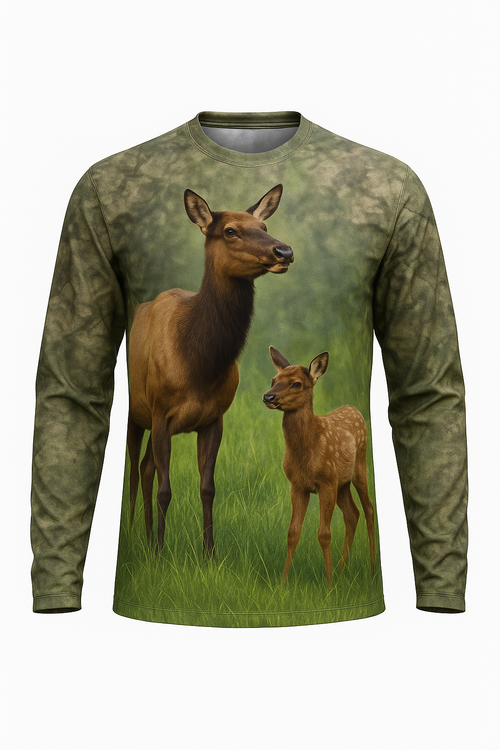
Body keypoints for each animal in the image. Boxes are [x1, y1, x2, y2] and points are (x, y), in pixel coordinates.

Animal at [127, 185, 293, 556]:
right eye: (230, 231)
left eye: (263, 226)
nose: (284, 250)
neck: (197, 367)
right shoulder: (161, 413)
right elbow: (166, 489)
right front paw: (160, 555)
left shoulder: (214, 417)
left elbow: (208, 487)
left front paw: (209, 553)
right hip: (136, 412)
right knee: (134, 470)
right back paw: (137, 539)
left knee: (145, 468)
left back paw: (144, 537)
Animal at [263, 347, 375, 588]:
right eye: (274, 380)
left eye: (297, 384)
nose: (268, 396)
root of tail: (354, 409)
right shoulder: (298, 485)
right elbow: (292, 532)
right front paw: (282, 584)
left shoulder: (326, 483)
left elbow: (324, 534)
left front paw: (329, 586)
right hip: (341, 484)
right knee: (353, 513)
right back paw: (342, 571)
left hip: (359, 467)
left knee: (369, 509)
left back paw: (370, 572)